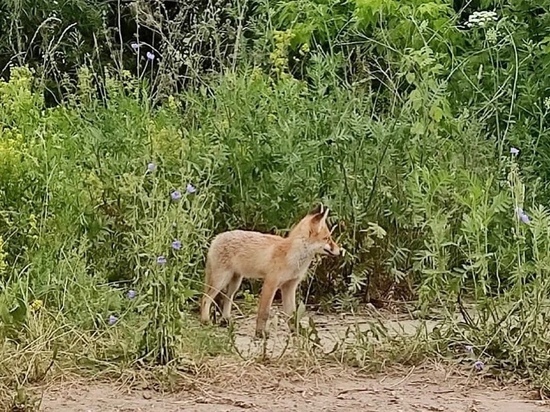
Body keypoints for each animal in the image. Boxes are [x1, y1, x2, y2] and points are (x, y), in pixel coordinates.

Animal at [201, 206, 342, 338]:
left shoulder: (289, 286)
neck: (291, 257)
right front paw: (260, 333)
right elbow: (264, 313)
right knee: (205, 298)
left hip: (235, 282)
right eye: (327, 238)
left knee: (227, 298)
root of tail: (218, 236)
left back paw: (225, 320)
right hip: (221, 280)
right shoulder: (270, 283)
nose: (341, 251)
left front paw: (296, 332)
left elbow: (292, 314)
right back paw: (205, 321)